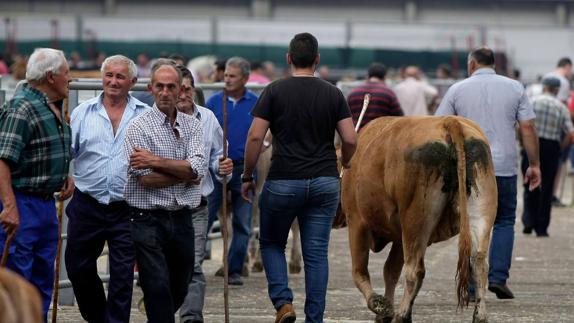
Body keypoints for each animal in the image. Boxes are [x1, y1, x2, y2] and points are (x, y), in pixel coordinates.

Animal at [340, 116, 498, 323]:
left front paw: (380, 305)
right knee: (479, 265)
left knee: (413, 270)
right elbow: (390, 271)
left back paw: (400, 315)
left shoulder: (356, 221)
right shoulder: (400, 237)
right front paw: (387, 311)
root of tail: (450, 122)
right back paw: (480, 315)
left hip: (415, 221)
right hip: (479, 214)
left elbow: (360, 272)